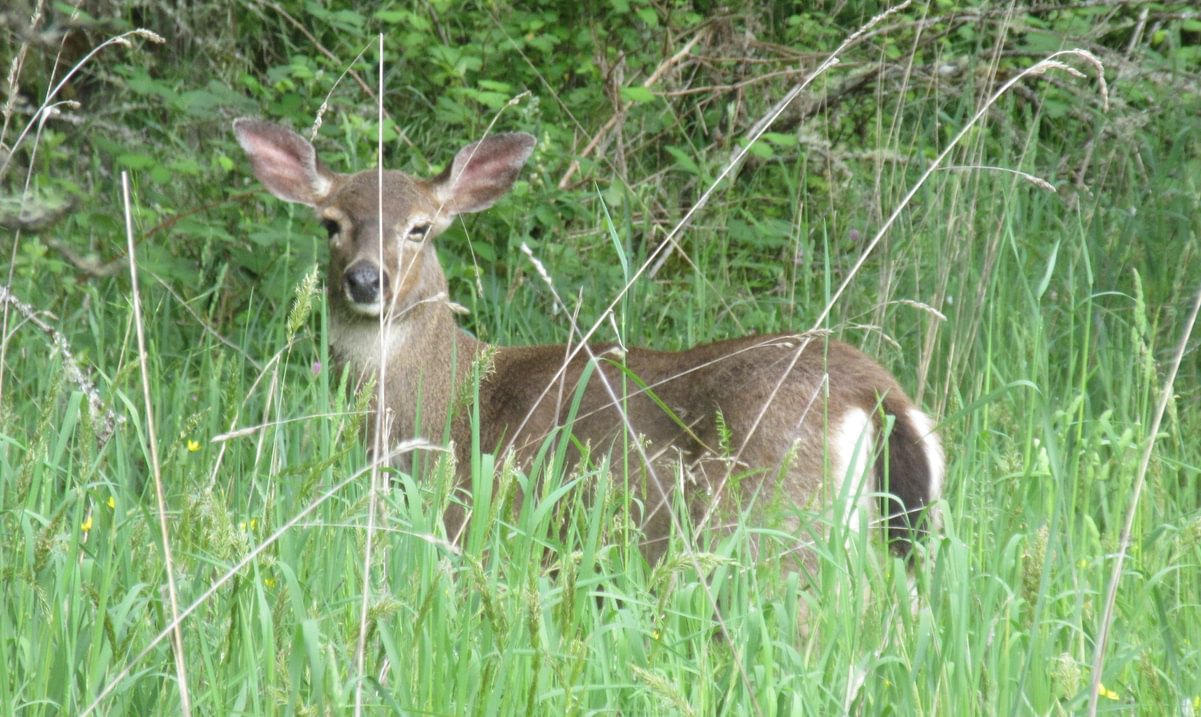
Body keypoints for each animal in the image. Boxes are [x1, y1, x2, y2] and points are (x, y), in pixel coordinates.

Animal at [233, 117, 945, 568]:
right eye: (331, 223)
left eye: (420, 228)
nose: (365, 280)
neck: (444, 403)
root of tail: (877, 395)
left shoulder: (473, 521)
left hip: (772, 524)